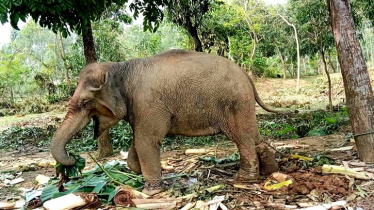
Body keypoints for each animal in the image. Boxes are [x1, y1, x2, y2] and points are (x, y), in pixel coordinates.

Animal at [49, 49, 280, 195]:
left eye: (86, 102)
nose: (73, 159)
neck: (119, 68)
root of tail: (246, 75)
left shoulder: (147, 103)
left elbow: (146, 141)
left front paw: (151, 190)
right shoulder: (140, 107)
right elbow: (139, 142)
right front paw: (147, 173)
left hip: (234, 103)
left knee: (242, 139)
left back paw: (244, 179)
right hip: (243, 105)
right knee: (254, 137)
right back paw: (269, 170)